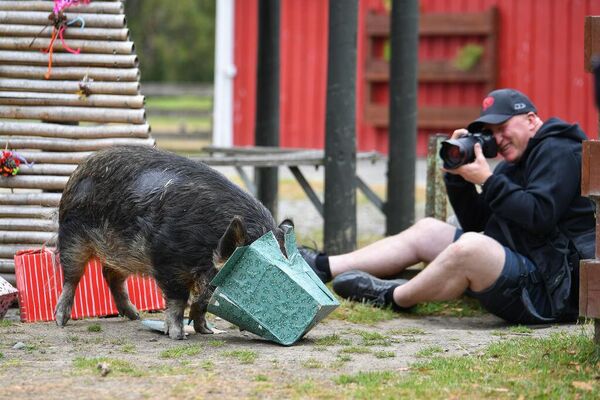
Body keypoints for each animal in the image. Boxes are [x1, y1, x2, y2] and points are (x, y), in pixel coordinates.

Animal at [54, 145, 290, 340]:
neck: (207, 246)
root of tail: (80, 168)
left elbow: (201, 303)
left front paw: (206, 331)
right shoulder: (167, 261)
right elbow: (178, 300)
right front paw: (178, 336)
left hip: (118, 252)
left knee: (111, 275)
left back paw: (134, 316)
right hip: (72, 236)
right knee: (72, 278)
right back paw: (61, 320)